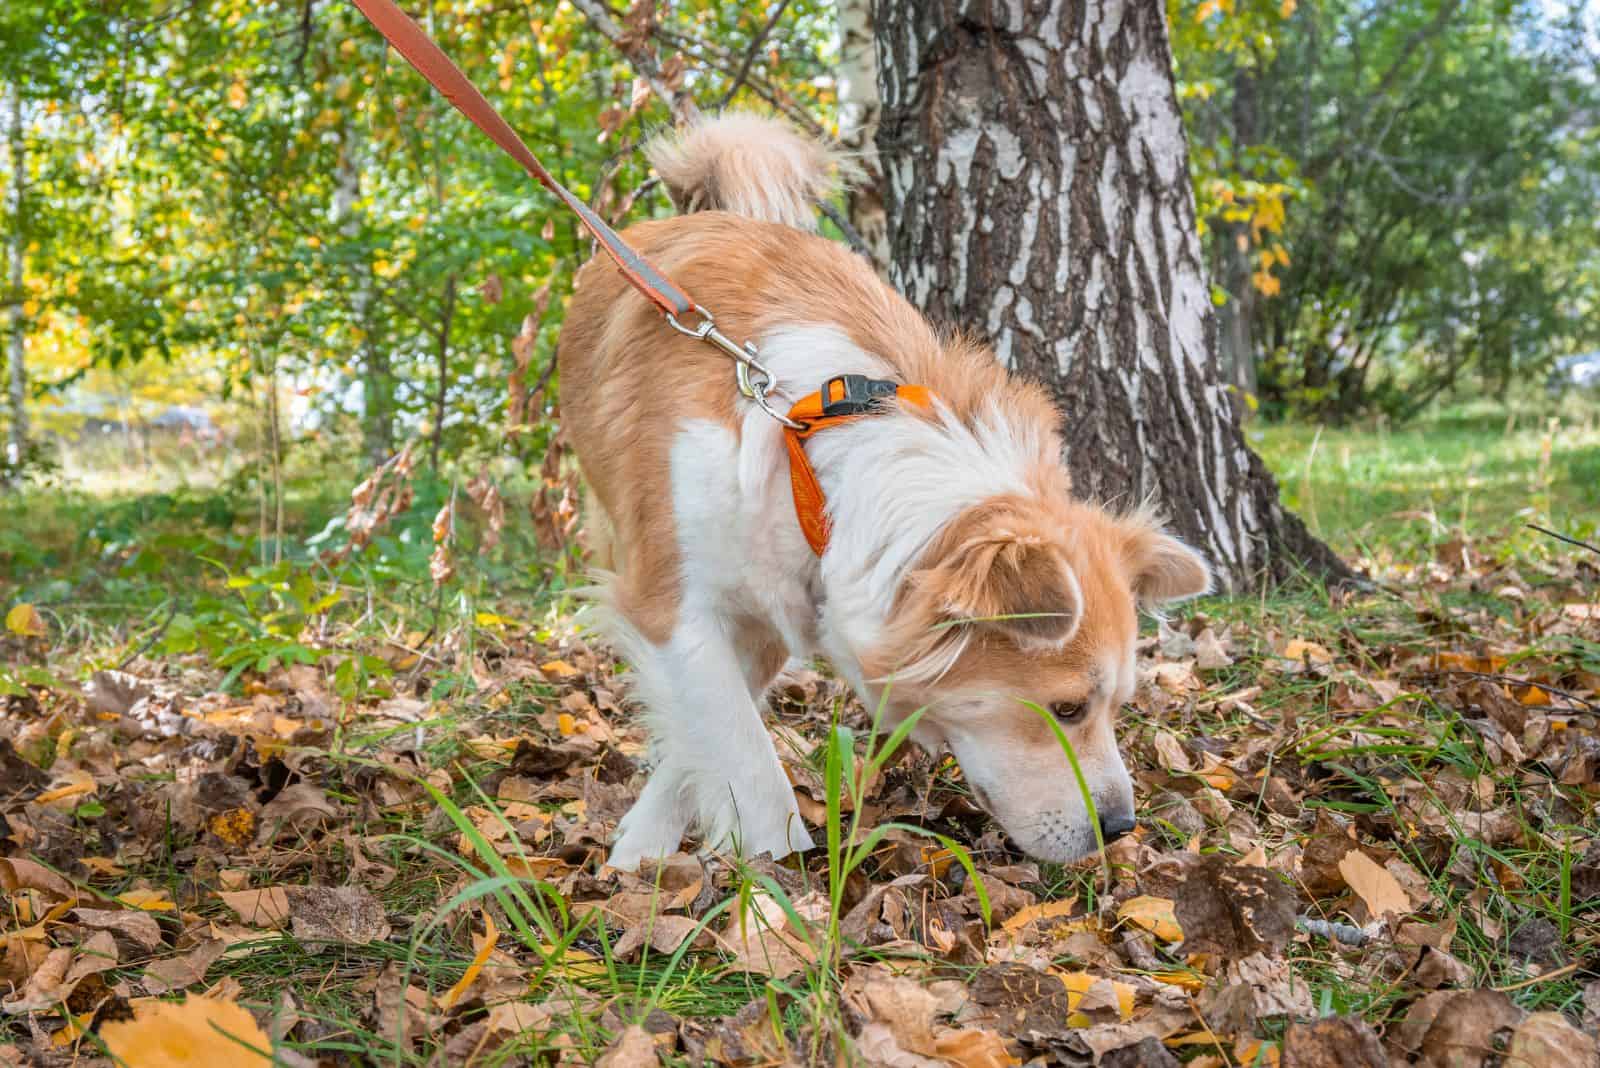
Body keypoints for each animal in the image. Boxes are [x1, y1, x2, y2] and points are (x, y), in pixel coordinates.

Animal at [556, 112, 1203, 869]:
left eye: (1117, 705)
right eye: (1068, 708)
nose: (1121, 828)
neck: (811, 448)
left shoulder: (779, 603)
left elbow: (711, 737)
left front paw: (647, 851)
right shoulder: (674, 606)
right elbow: (748, 766)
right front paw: (777, 885)